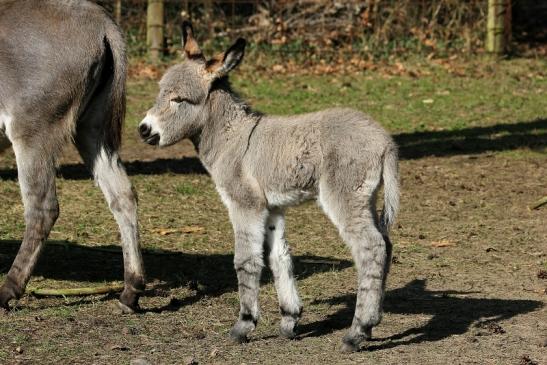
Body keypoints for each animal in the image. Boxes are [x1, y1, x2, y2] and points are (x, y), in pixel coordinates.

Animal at [0, 0, 146, 312]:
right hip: (92, 129)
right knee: (124, 196)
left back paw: (8, 290)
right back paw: (131, 290)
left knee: (42, 209)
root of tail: (100, 20)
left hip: (33, 131)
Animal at [139, 22, 400, 350]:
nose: (143, 130)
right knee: (386, 245)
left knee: (371, 247)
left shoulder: (245, 203)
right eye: (160, 93)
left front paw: (244, 324)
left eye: (178, 100)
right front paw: (290, 319)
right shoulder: (272, 207)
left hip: (344, 195)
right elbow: (279, 257)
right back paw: (373, 321)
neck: (232, 137)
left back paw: (358, 331)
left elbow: (246, 260)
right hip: (367, 198)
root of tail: (385, 141)